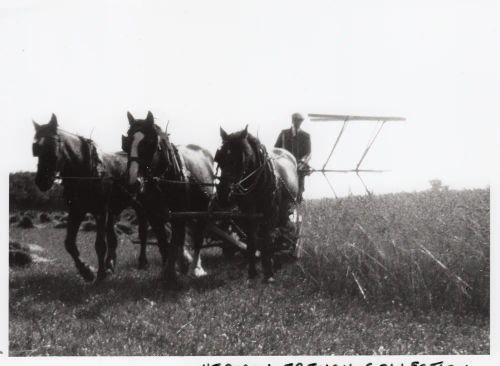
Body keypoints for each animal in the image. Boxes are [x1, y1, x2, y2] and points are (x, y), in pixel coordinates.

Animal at [31, 116, 146, 282]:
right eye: (36, 148)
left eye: (51, 146)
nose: (41, 181)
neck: (87, 171)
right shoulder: (76, 210)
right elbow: (69, 243)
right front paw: (87, 271)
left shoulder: (101, 212)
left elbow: (100, 245)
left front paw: (100, 274)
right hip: (113, 210)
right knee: (113, 238)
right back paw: (110, 264)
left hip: (140, 206)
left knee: (142, 232)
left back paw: (142, 261)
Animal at [124, 111, 214, 286]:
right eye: (127, 142)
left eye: (149, 143)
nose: (132, 182)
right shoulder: (154, 215)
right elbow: (163, 242)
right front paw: (167, 270)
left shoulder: (179, 214)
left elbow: (174, 242)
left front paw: (171, 272)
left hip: (202, 209)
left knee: (198, 237)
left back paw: (195, 267)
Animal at [214, 126, 296, 284]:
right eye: (219, 158)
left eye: (240, 158)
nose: (223, 195)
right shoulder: (248, 213)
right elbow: (252, 241)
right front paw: (252, 272)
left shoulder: (270, 211)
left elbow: (268, 240)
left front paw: (269, 273)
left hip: (283, 209)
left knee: (279, 232)